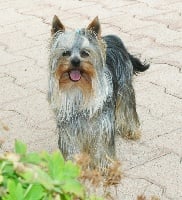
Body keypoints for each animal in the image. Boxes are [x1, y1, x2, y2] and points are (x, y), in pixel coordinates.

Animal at [48, 15, 149, 171]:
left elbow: (102, 144)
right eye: (65, 53)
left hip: (125, 87)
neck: (79, 89)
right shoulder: (69, 127)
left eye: (85, 53)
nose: (75, 62)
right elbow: (72, 147)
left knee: (127, 108)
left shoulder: (102, 124)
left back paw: (131, 131)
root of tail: (114, 38)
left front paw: (106, 167)